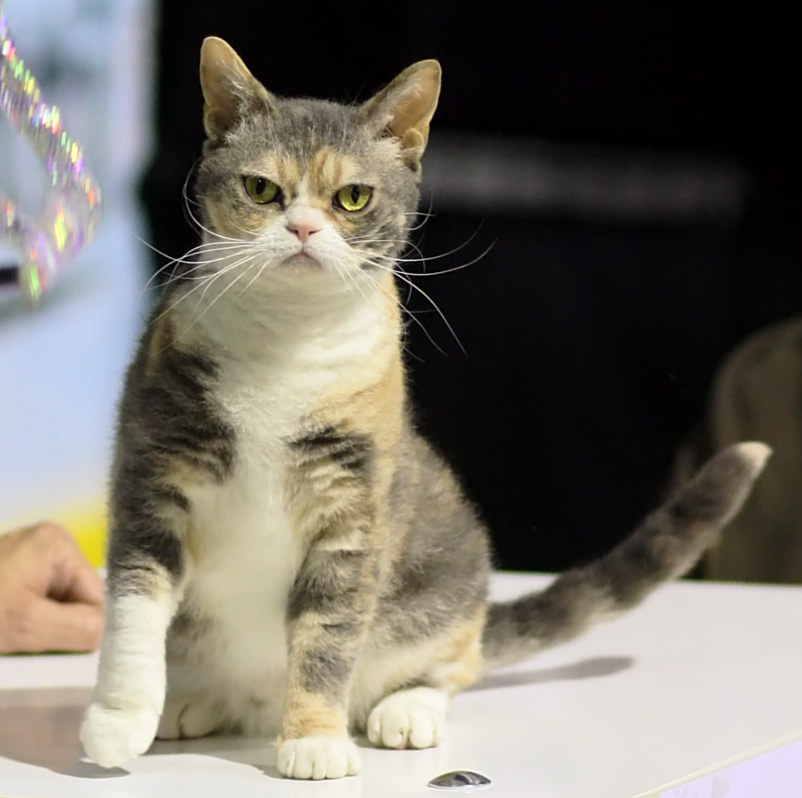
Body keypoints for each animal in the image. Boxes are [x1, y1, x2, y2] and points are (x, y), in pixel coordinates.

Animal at [79, 37, 768, 780]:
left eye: (352, 197)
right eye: (261, 189)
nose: (302, 227)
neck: (283, 349)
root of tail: (253, 704)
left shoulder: (353, 511)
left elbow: (328, 634)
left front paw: (315, 739)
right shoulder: (154, 477)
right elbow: (133, 607)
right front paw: (117, 721)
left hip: (446, 583)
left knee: (451, 664)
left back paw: (405, 708)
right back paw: (191, 703)